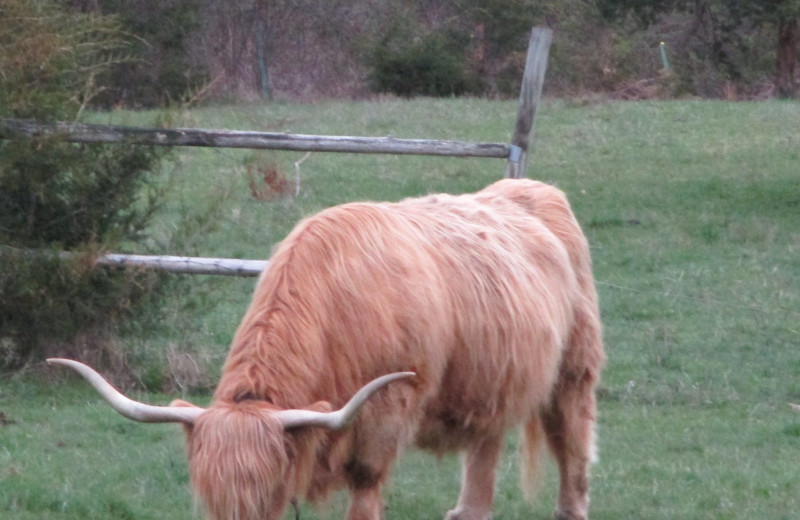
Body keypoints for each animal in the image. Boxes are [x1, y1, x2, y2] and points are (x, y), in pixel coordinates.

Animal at [50, 178, 604, 520]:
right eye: (208, 496)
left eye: (267, 492)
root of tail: (531, 188)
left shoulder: (386, 411)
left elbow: (365, 484)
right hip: (490, 380)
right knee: (484, 448)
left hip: (575, 369)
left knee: (572, 442)